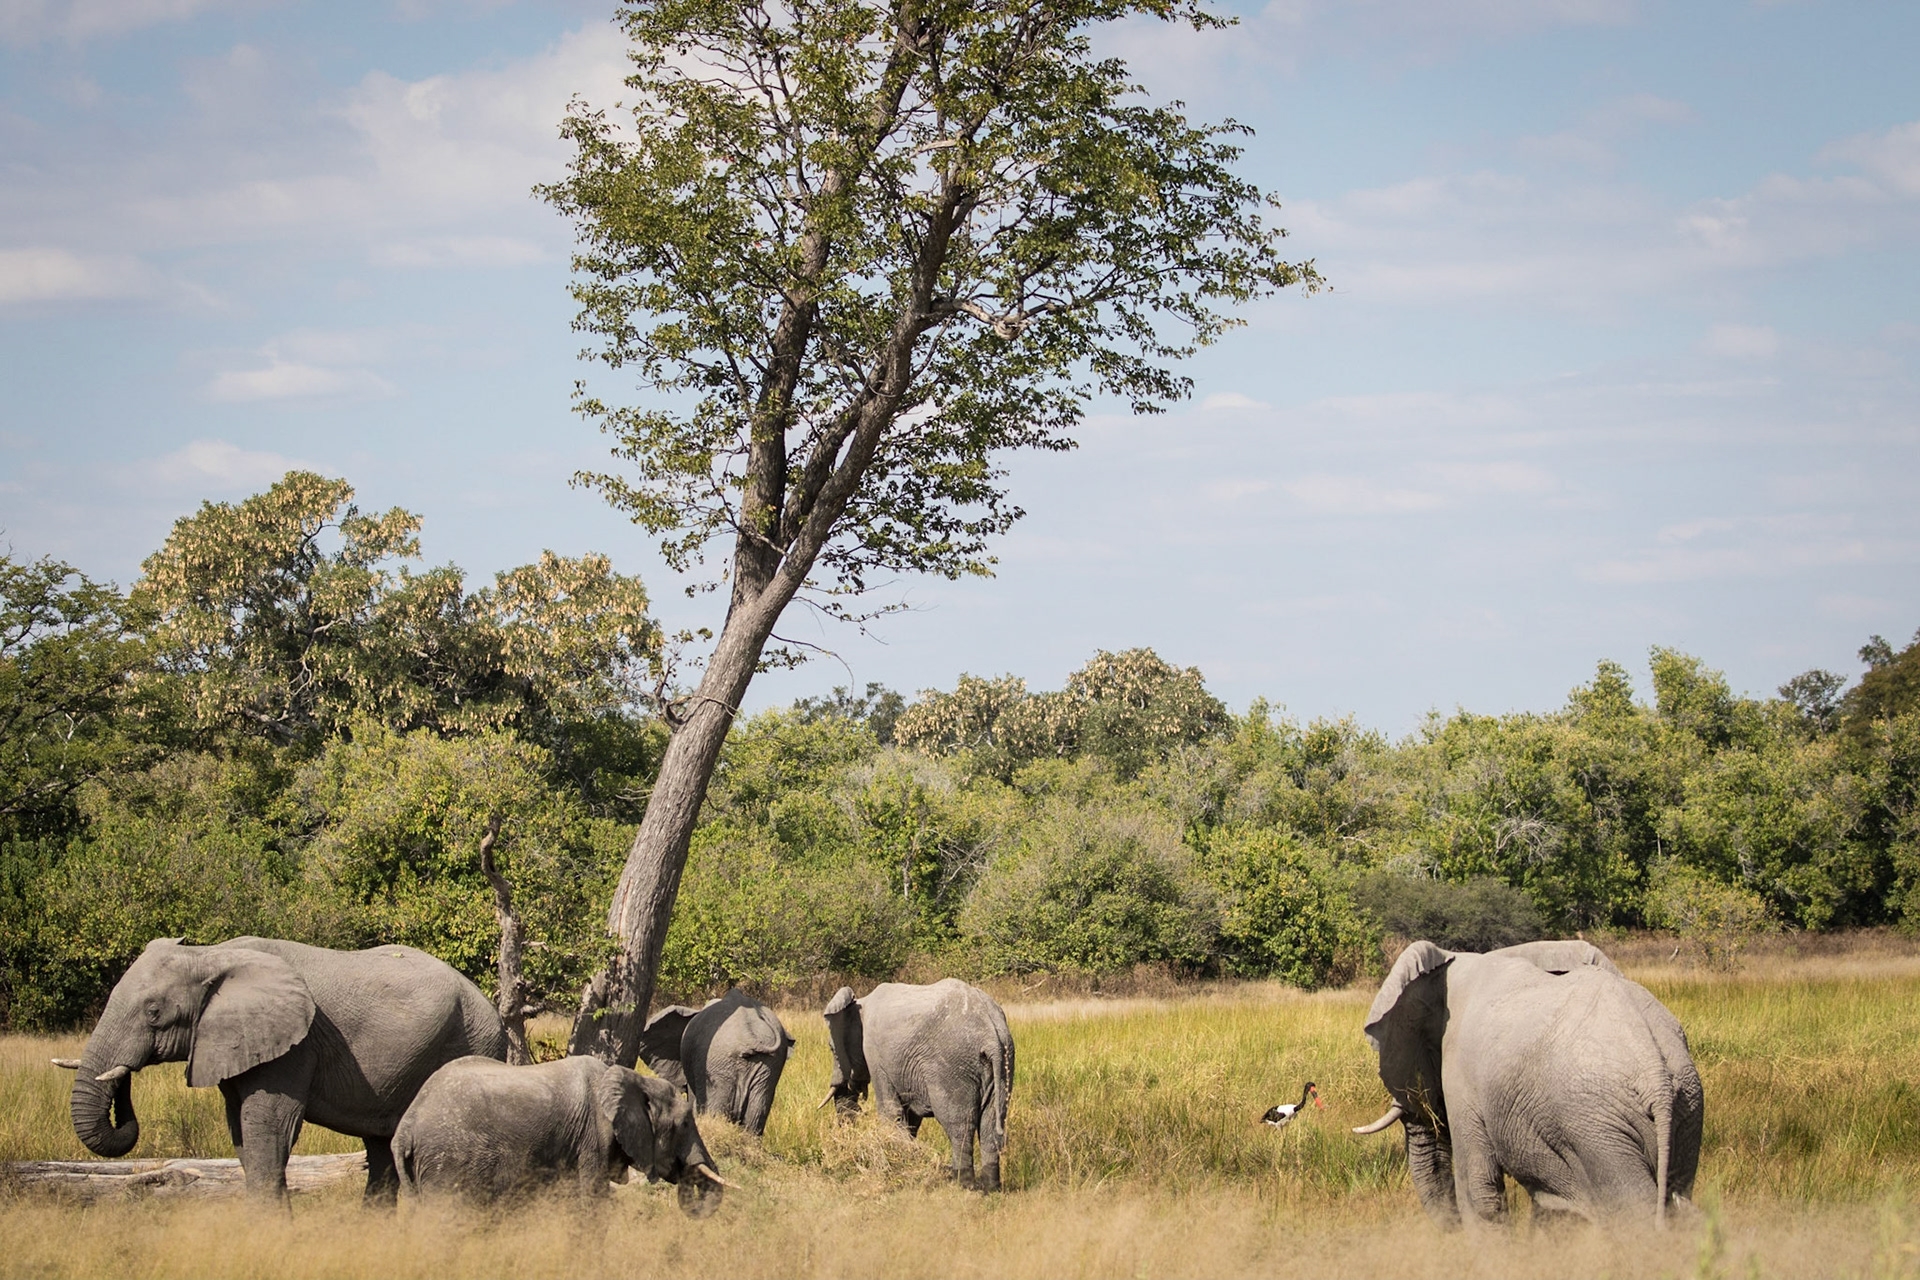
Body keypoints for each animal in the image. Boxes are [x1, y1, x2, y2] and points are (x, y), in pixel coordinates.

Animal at [67, 936, 506, 1202]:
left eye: (154, 1012)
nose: (124, 1075)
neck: (209, 954)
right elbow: (241, 1131)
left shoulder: (294, 1048)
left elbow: (269, 1127)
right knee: (382, 1147)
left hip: (473, 1039)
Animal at [392, 1055, 726, 1215]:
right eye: (685, 1123)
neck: (632, 1078)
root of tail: (405, 1127)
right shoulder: (593, 1137)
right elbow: (592, 1200)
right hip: (448, 1160)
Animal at [823, 978, 1014, 1191]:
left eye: (832, 1049)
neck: (860, 1003)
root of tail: (990, 1034)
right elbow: (910, 1115)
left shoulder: (875, 1053)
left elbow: (890, 1110)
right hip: (1004, 1062)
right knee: (991, 1124)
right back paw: (990, 1187)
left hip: (952, 1067)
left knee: (959, 1125)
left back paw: (962, 1184)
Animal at [1353, 938, 1703, 1230]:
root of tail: (1654, 1071)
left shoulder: (1461, 1076)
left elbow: (1479, 1192)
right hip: (1686, 1106)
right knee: (1677, 1198)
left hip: (1598, 1125)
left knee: (1633, 1211)